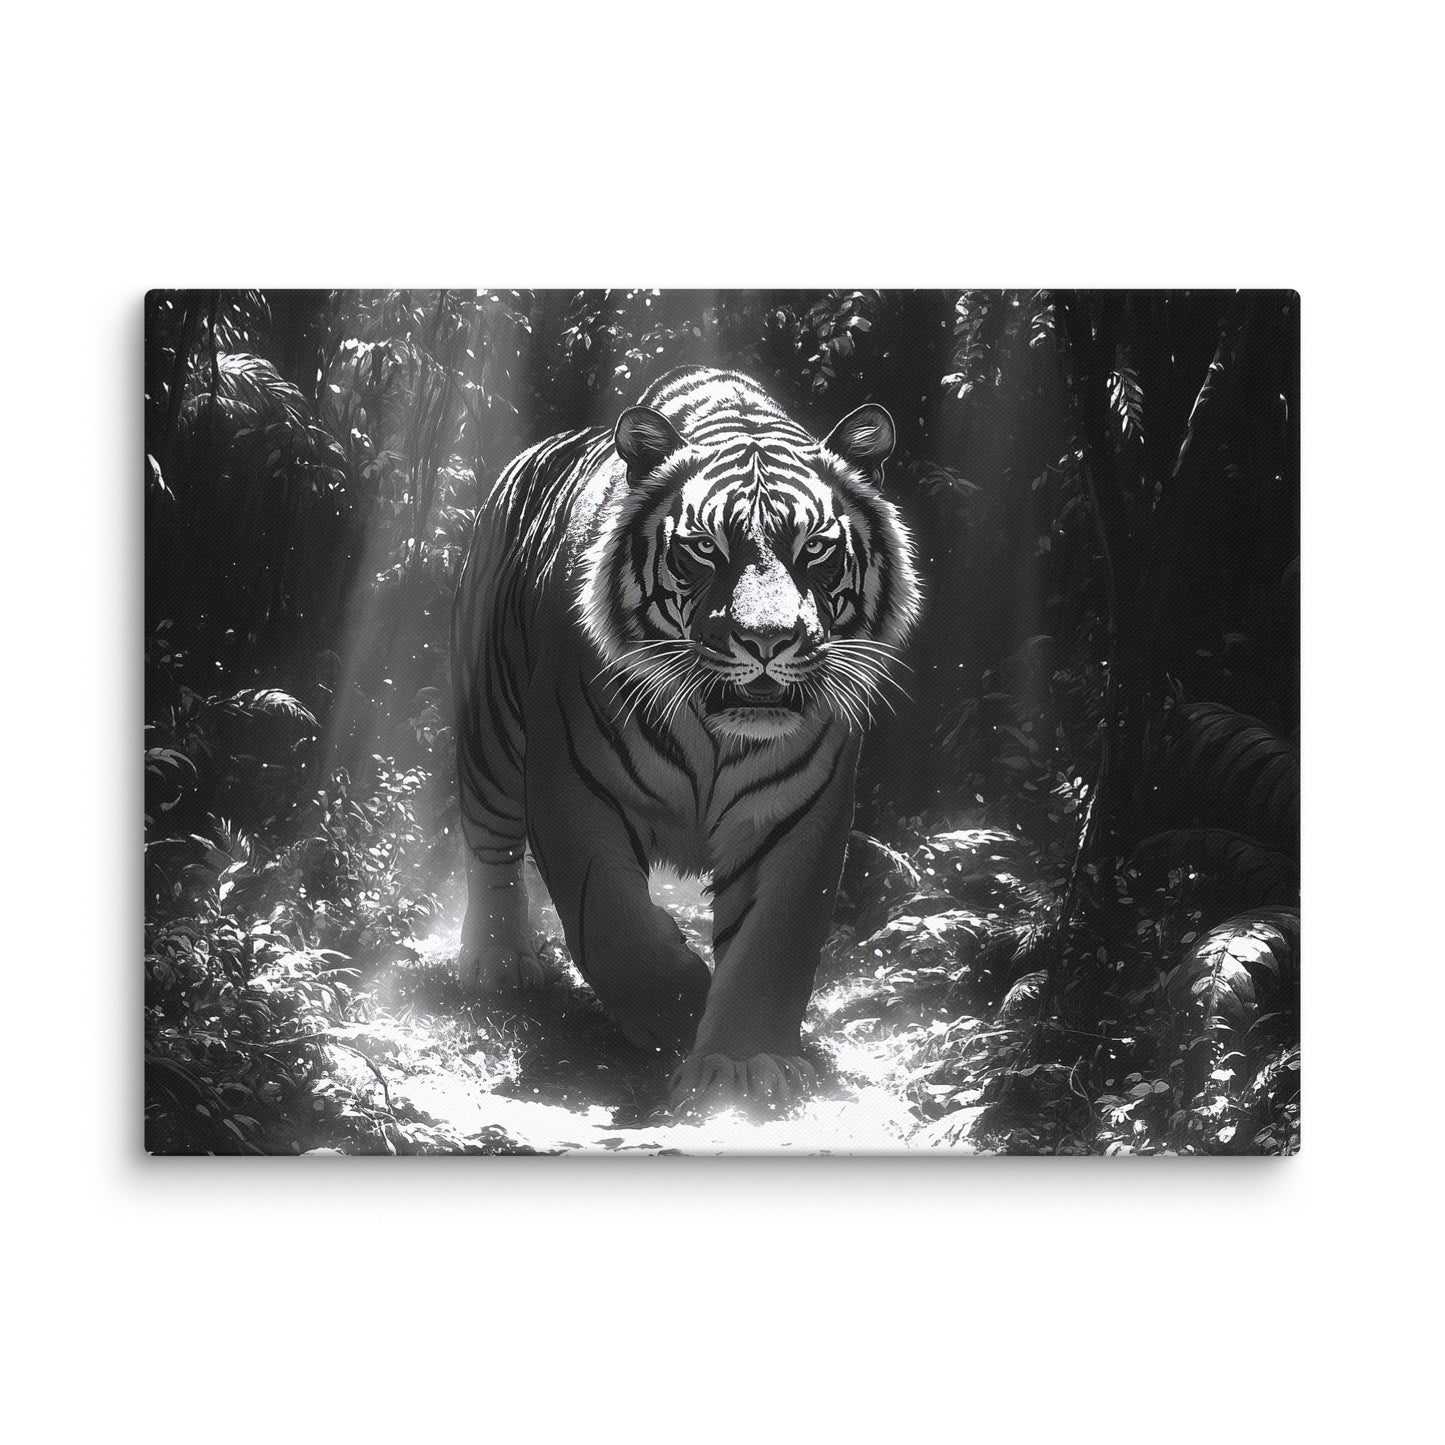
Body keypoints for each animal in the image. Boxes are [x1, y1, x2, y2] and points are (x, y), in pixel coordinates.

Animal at [451, 365, 921, 1115]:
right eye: (705, 548)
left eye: (814, 549)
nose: (766, 641)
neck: (715, 732)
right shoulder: (571, 789)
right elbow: (612, 928)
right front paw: (681, 1008)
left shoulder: (797, 816)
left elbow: (771, 941)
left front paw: (743, 1061)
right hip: (491, 730)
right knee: (487, 841)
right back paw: (498, 962)